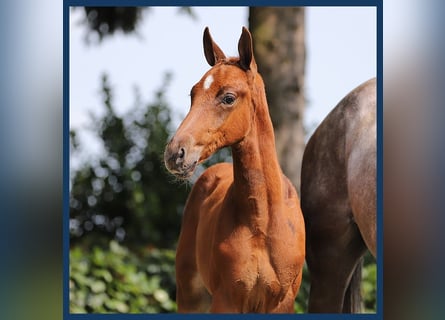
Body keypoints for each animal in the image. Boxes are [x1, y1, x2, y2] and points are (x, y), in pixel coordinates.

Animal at [164, 27, 306, 312]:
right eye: (193, 94)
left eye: (228, 97)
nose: (175, 153)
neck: (262, 221)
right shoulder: (227, 299)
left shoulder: (282, 302)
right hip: (190, 296)